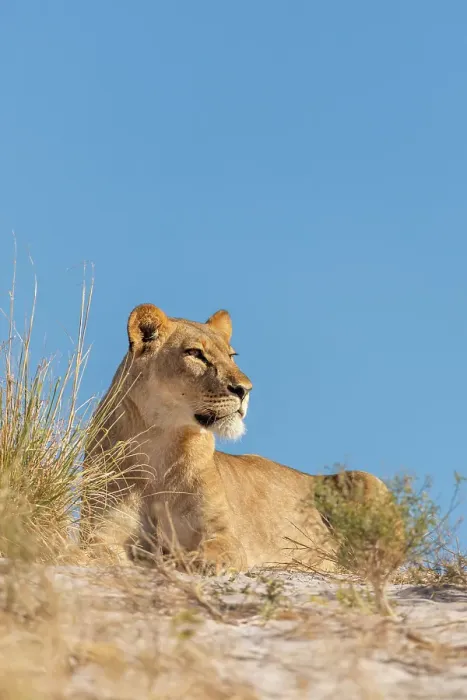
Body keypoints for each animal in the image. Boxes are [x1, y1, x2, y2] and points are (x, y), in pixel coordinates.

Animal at [81, 303, 391, 572]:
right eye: (195, 353)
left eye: (231, 356)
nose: (245, 389)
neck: (158, 441)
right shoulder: (103, 531)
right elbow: (91, 553)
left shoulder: (224, 535)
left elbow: (208, 555)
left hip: (365, 480)